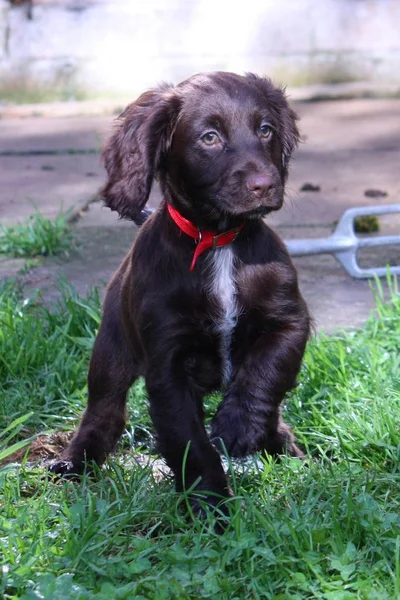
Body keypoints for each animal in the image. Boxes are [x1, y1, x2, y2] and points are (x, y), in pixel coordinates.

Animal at [50, 72, 310, 516]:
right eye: (209, 137)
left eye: (265, 130)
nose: (265, 185)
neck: (218, 241)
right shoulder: (167, 364)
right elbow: (190, 443)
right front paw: (211, 510)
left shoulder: (290, 320)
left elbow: (267, 369)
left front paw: (239, 426)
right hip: (111, 351)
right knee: (103, 410)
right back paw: (74, 462)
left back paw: (283, 444)